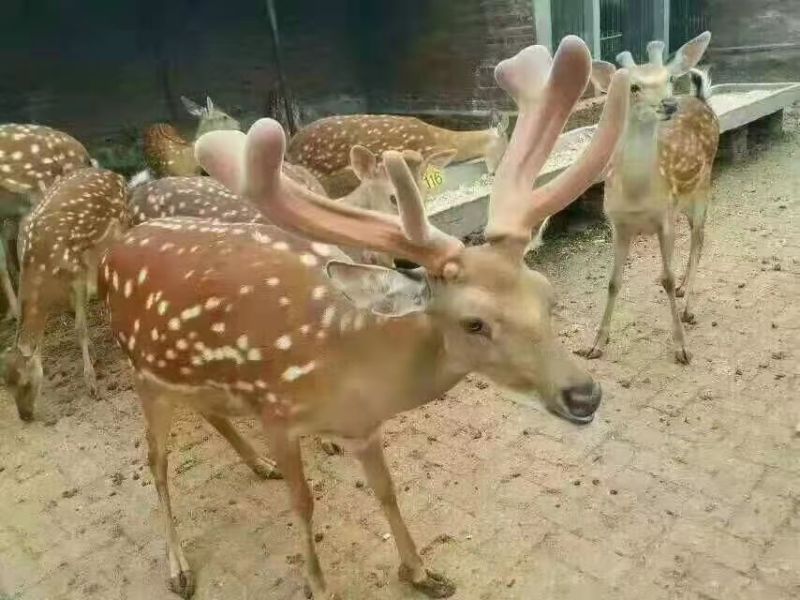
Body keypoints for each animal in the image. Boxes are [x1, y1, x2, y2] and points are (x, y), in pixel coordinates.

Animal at [3, 167, 127, 420]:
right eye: (7, 388)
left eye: (25, 383)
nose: (25, 416)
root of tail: (116, 175)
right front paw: (94, 355)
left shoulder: (77, 274)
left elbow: (80, 327)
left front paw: (92, 384)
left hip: (121, 225)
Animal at [578, 31, 719, 365]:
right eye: (633, 86)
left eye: (669, 78)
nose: (668, 104)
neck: (636, 195)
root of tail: (701, 99)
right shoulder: (618, 225)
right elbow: (613, 281)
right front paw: (596, 344)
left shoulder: (663, 220)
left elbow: (665, 278)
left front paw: (682, 347)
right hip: (683, 203)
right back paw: (683, 289)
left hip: (703, 188)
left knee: (699, 239)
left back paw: (688, 306)